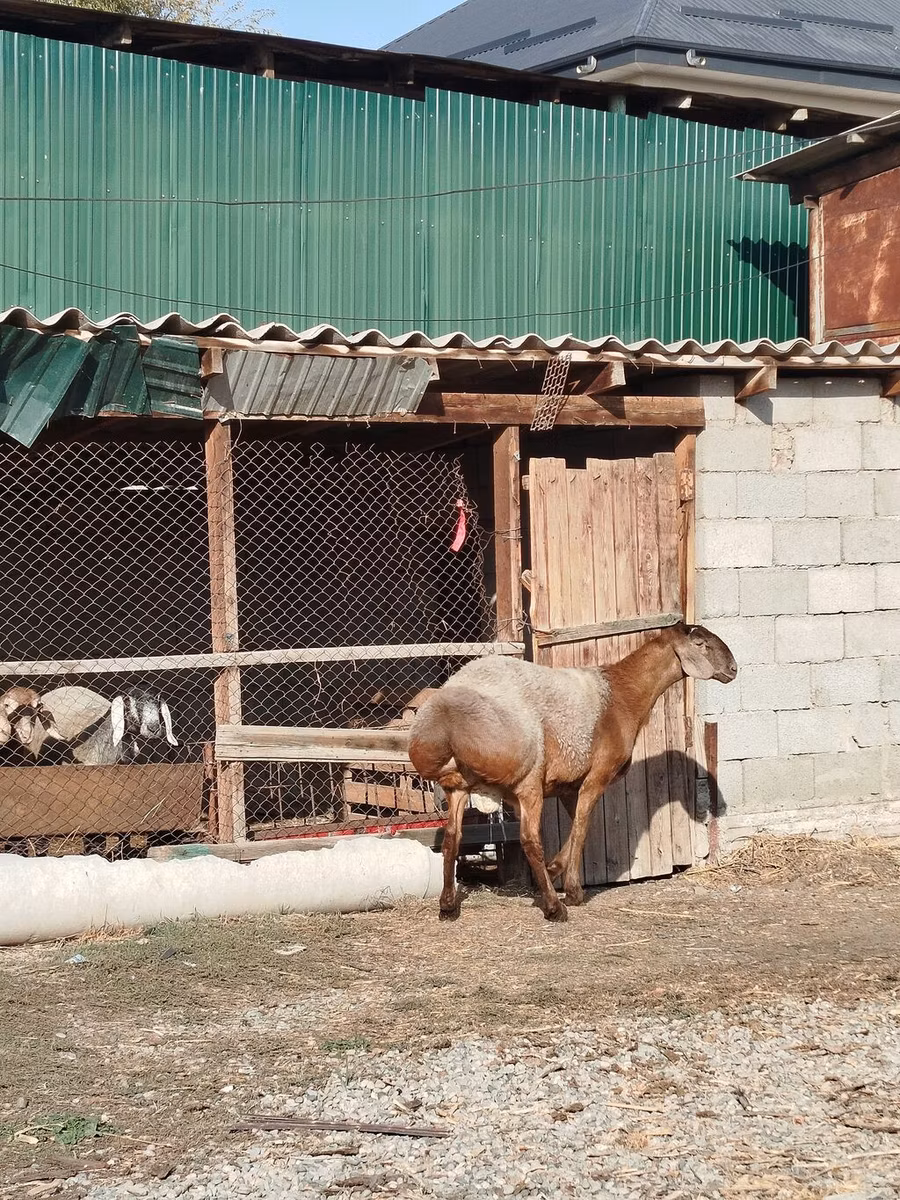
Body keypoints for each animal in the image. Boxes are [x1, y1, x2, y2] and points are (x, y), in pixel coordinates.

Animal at [408, 622, 737, 923]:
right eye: (700, 643)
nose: (733, 669)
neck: (623, 694)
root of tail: (444, 725)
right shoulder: (597, 776)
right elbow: (581, 829)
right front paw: (573, 890)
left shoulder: (569, 785)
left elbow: (578, 827)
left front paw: (555, 869)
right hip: (528, 778)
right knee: (529, 840)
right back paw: (555, 908)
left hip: (458, 787)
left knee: (452, 838)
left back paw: (447, 906)